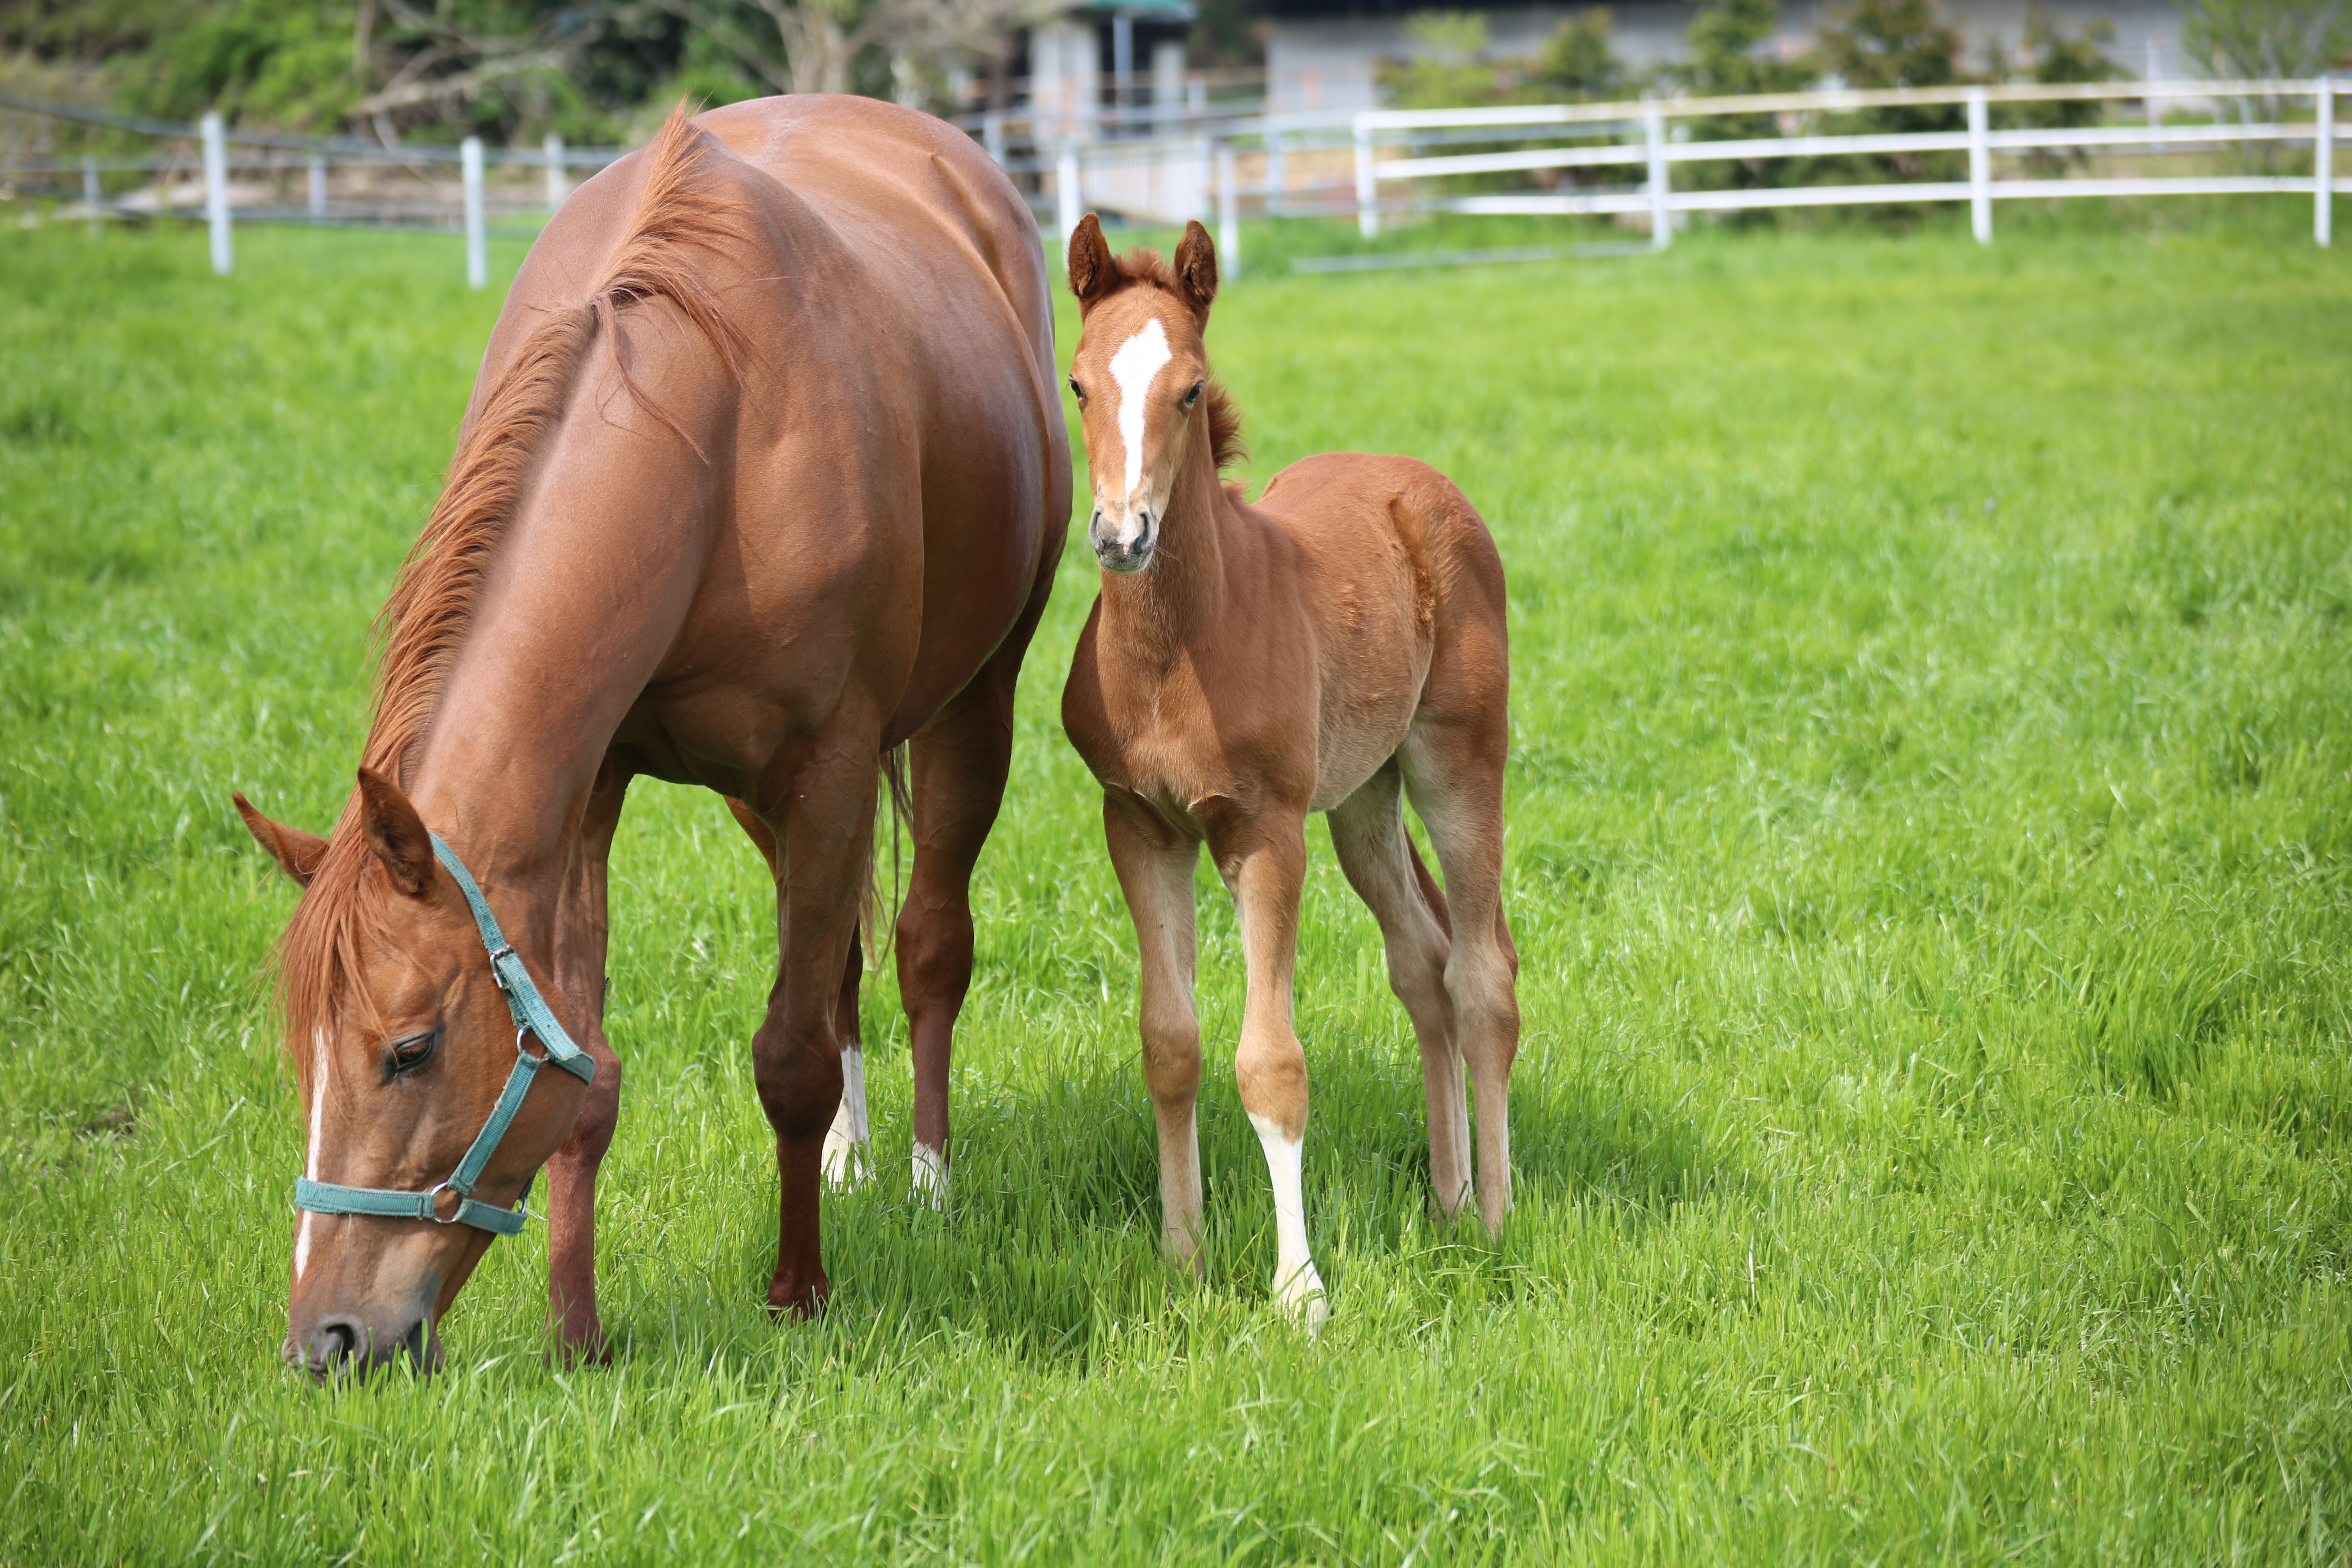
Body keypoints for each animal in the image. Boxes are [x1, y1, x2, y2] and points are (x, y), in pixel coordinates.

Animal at [229, 95, 1068, 1373]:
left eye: (409, 1050)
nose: (325, 1340)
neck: (710, 426)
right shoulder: (591, 788)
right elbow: (589, 1070)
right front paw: (575, 1332)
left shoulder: (830, 766)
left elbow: (789, 1055)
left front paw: (798, 1291)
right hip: (759, 799)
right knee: (844, 960)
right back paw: (852, 1160)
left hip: (972, 706)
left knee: (927, 945)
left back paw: (926, 1180)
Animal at [1063, 215, 1524, 1335]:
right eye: (1079, 383)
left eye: (1189, 388)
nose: (1121, 536)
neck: (1179, 647)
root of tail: (1420, 482)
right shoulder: (1140, 825)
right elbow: (1170, 1042)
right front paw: (1182, 1257)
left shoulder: (1263, 834)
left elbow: (1269, 1061)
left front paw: (1298, 1290)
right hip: (1362, 800)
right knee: (1422, 963)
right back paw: (1447, 1199)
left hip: (1455, 760)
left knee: (1482, 971)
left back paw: (1493, 1218)